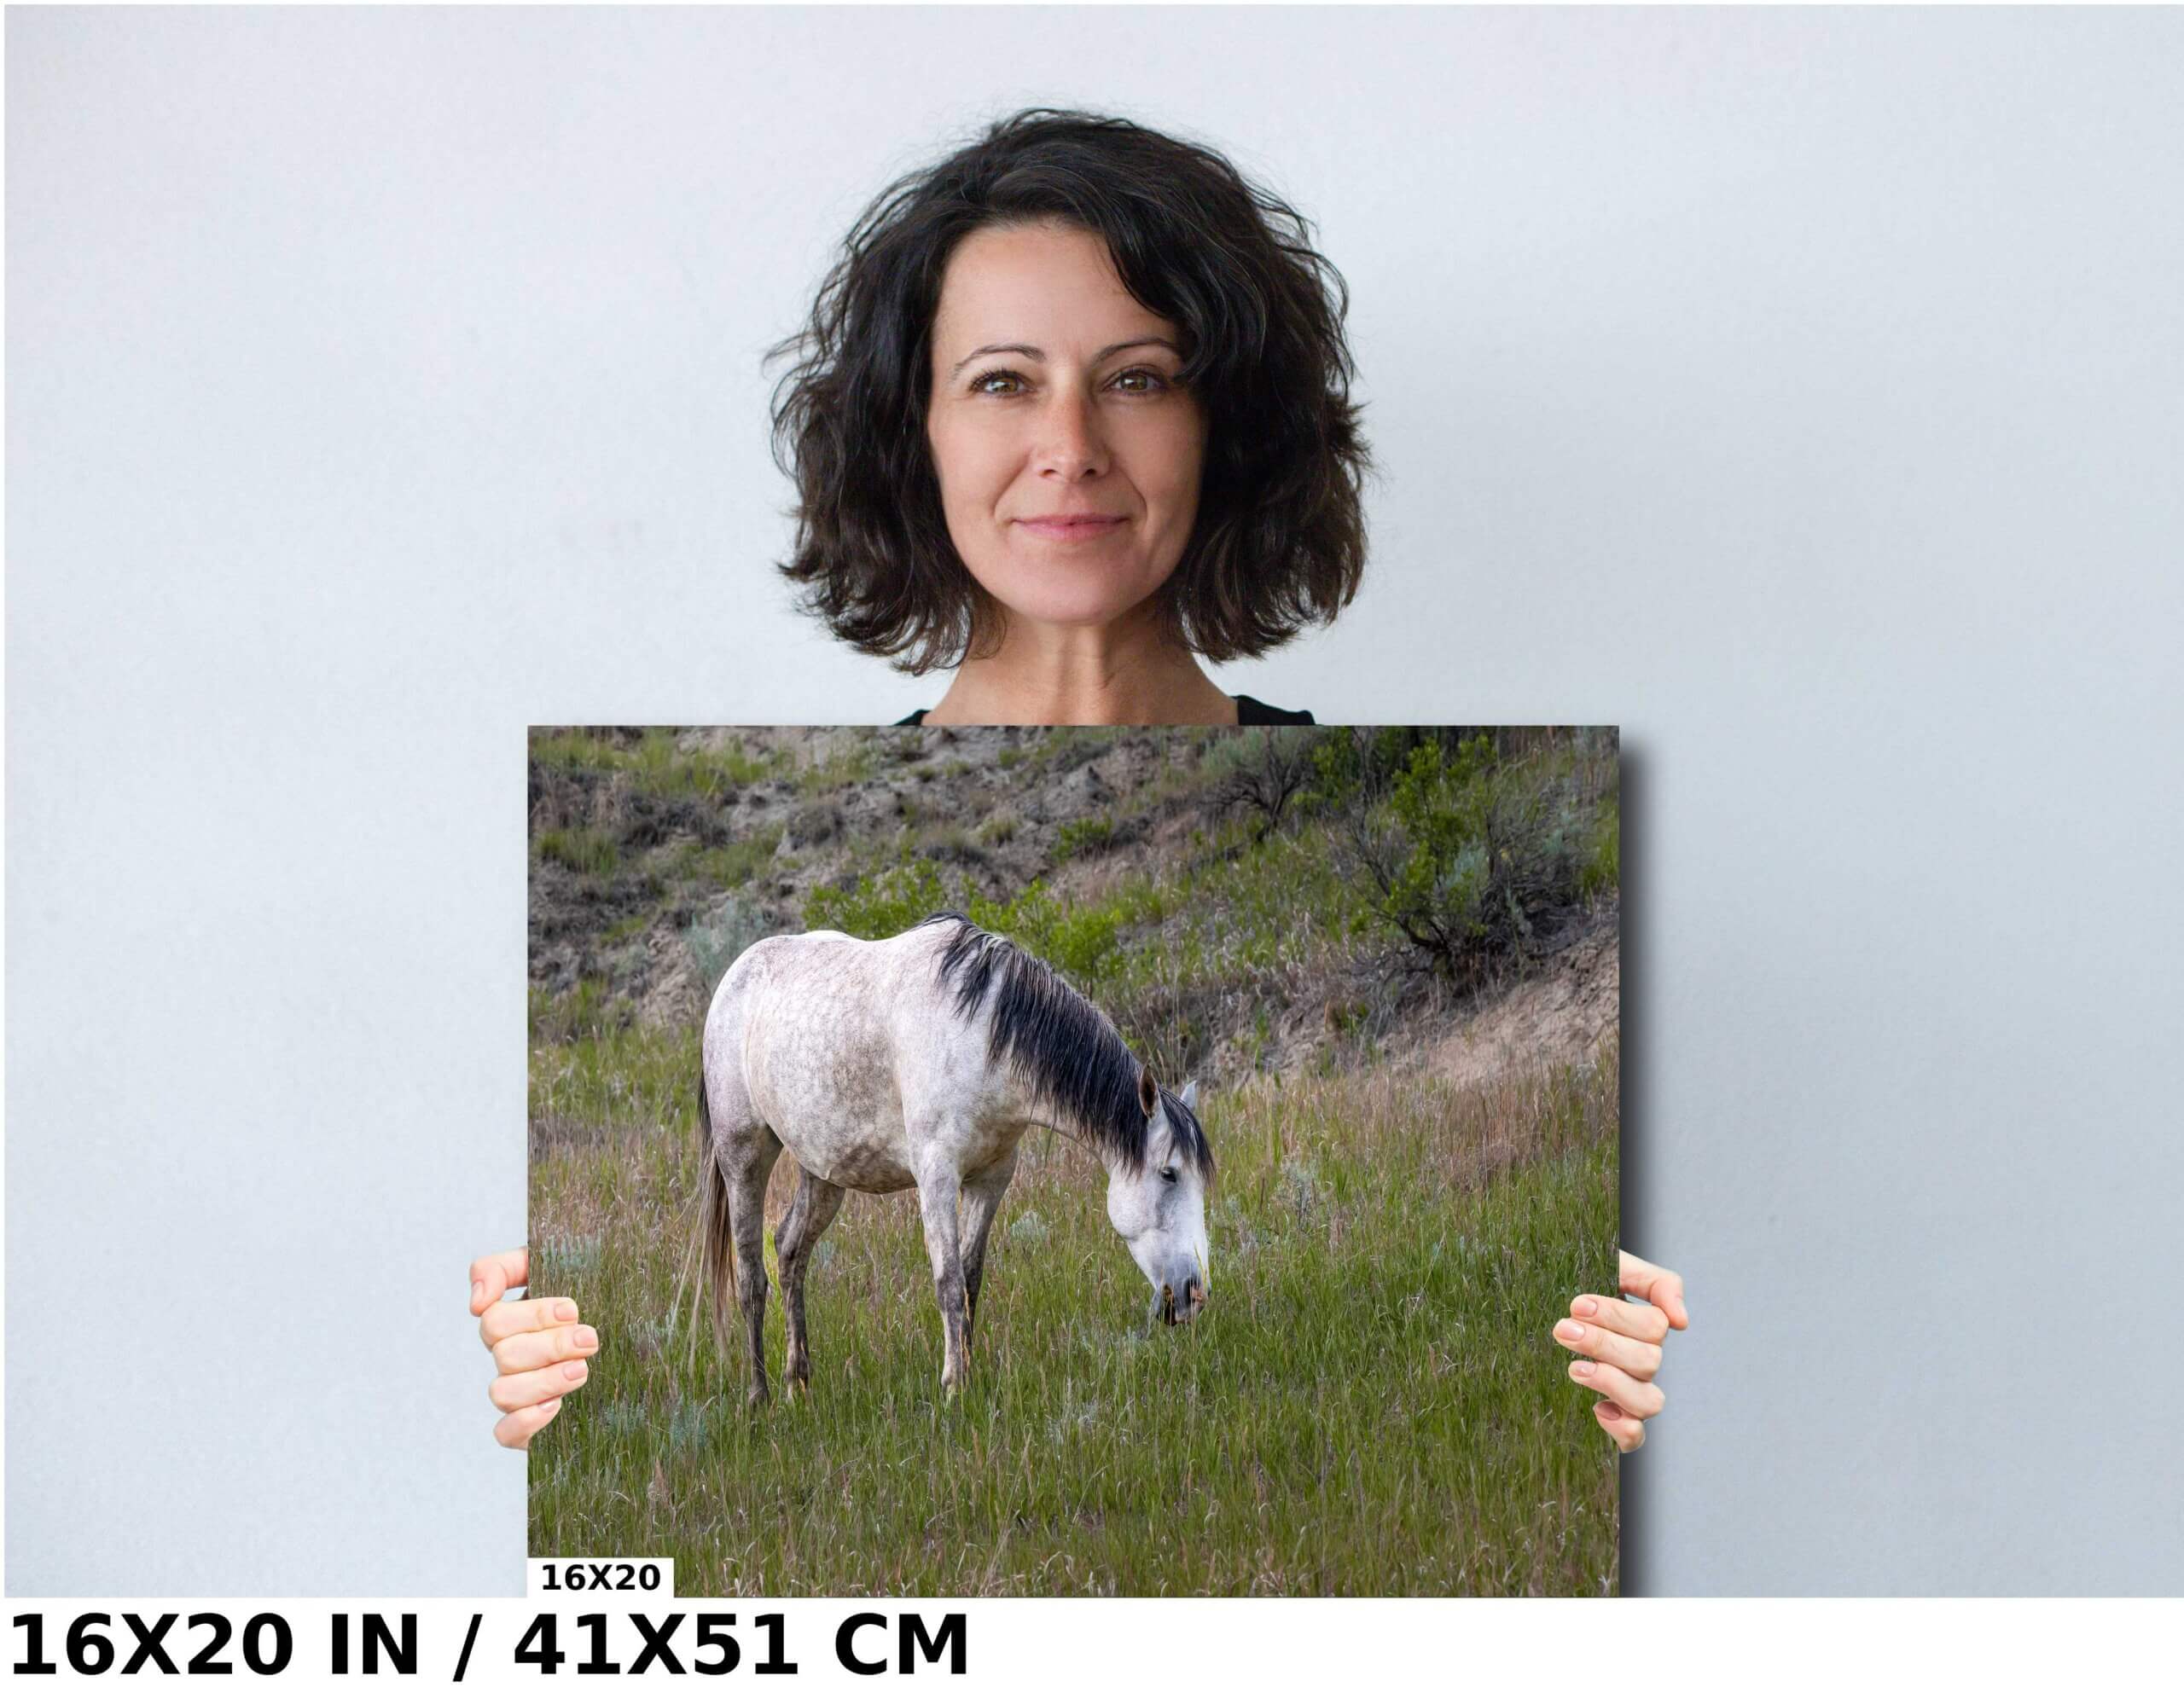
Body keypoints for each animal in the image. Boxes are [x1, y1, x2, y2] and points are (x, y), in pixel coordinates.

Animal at [694, 909, 1214, 1401]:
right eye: (1169, 1174)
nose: (1194, 1293)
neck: (982, 1037)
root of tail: (733, 978)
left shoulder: (991, 1178)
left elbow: (970, 1280)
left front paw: (970, 1375)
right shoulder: (937, 1177)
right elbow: (947, 1282)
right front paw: (953, 1388)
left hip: (822, 1173)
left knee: (789, 1252)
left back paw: (797, 1383)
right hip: (744, 1156)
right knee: (750, 1277)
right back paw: (759, 1396)